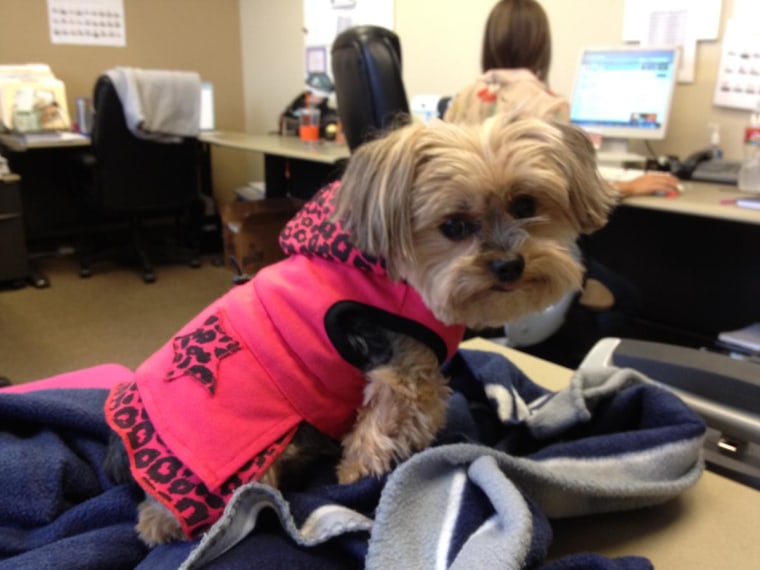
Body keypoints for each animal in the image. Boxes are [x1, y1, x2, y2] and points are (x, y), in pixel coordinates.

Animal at [102, 113, 612, 544]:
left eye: (525, 204)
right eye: (453, 226)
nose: (509, 265)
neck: (397, 271)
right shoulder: (404, 373)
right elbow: (381, 430)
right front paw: (356, 479)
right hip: (243, 464)